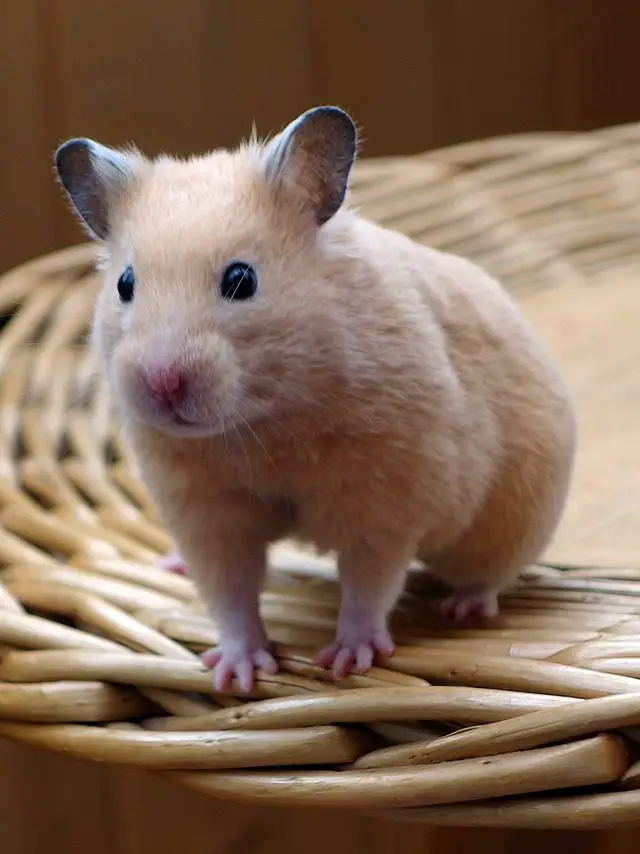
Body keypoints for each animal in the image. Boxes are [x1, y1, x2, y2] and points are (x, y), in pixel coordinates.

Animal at [54, 106, 576, 692]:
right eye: (125, 284)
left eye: (241, 279)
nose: (162, 382)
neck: (260, 421)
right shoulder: (205, 513)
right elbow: (230, 594)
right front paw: (237, 675)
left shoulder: (385, 503)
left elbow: (368, 586)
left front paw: (346, 663)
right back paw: (171, 566)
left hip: (514, 516)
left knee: (489, 573)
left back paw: (461, 609)